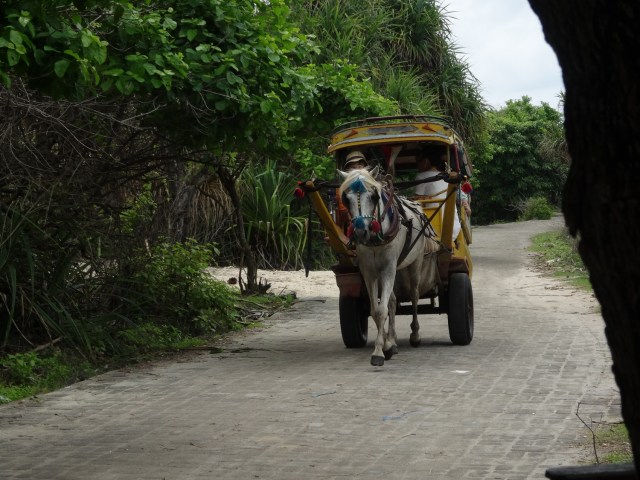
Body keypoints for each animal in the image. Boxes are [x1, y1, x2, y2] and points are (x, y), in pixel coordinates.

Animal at [338, 167, 434, 366]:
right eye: (346, 198)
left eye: (373, 196)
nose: (361, 231)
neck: (376, 238)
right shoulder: (369, 272)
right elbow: (377, 310)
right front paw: (385, 346)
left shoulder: (388, 268)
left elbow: (382, 310)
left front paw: (380, 352)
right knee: (393, 300)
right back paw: (392, 339)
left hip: (415, 262)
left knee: (414, 295)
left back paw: (415, 335)